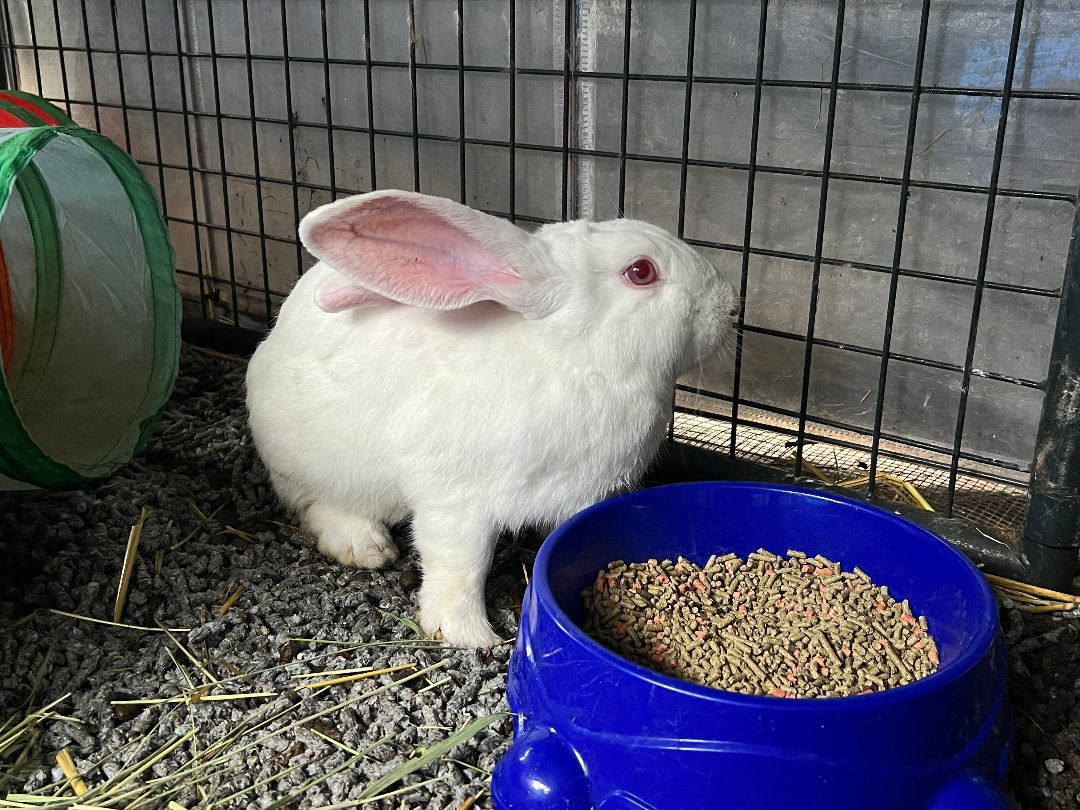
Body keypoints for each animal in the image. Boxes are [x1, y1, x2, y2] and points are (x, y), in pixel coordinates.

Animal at [246, 189, 738, 648]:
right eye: (641, 272)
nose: (732, 306)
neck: (577, 361)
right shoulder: (454, 499)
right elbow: (460, 563)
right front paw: (468, 635)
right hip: (315, 464)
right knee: (313, 503)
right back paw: (365, 546)